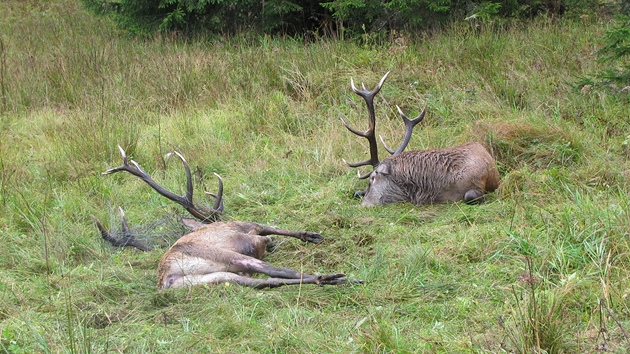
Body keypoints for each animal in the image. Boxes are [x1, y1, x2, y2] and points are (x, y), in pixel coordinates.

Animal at [98, 145, 356, 290]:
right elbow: (270, 226)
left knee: (265, 282)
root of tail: (166, 279)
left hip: (216, 277)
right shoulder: (246, 226)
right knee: (275, 270)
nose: (271, 246)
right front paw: (311, 235)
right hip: (225, 256)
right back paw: (333, 277)